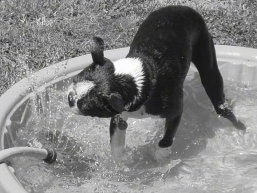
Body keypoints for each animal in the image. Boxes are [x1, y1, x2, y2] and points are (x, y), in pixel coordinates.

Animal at [67, 5, 245, 161]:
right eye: (74, 80)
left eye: (86, 107)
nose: (70, 98)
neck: (138, 79)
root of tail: (182, 7)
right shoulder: (118, 116)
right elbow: (116, 144)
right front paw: (122, 161)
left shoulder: (175, 111)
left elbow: (166, 138)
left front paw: (161, 155)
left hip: (208, 65)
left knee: (218, 97)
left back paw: (238, 125)